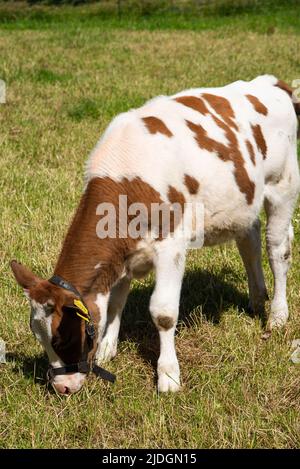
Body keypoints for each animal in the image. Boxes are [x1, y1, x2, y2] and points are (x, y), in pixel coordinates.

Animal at [10, 75, 298, 394]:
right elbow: (116, 301)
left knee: (277, 250)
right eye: (38, 336)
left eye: (64, 337)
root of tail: (270, 83)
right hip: (242, 204)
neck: (127, 178)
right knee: (250, 243)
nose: (62, 387)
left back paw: (277, 316)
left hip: (283, 186)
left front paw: (168, 376)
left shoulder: (171, 245)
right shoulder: (122, 254)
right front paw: (108, 348)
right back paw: (257, 299)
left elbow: (163, 312)